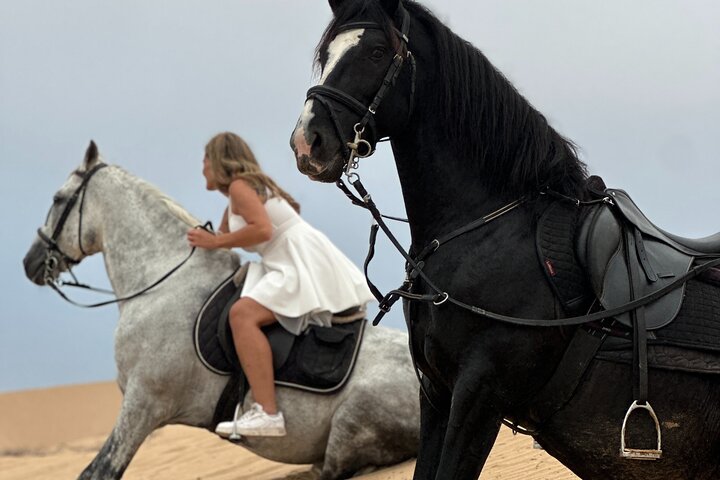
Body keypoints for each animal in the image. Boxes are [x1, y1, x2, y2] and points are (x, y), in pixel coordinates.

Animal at [22, 142, 420, 480]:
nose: (31, 263)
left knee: (338, 466)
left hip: (354, 420)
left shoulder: (143, 405)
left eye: (58, 198)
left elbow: (98, 471)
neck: (163, 282)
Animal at [290, 1, 720, 478]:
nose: (307, 142)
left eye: (377, 52)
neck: (486, 231)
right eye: (326, 55)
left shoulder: (479, 395)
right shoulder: (436, 394)